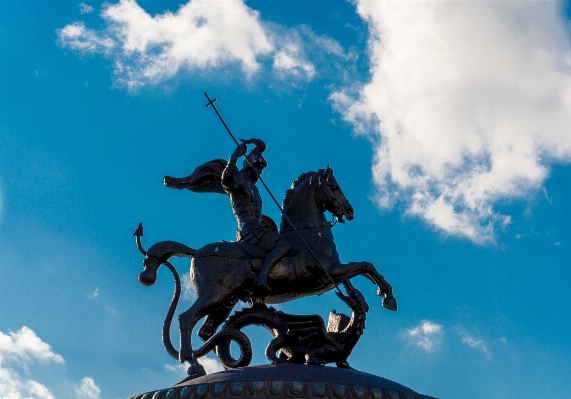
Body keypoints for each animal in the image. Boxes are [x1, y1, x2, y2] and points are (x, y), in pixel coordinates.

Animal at [137, 166, 398, 376]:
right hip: (214, 295)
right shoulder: (329, 273)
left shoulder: (333, 275)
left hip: (225, 301)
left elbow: (365, 268)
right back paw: (192, 364)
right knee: (186, 319)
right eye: (334, 187)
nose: (350, 210)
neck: (306, 233)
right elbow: (365, 266)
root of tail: (196, 252)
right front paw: (388, 297)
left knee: (205, 330)